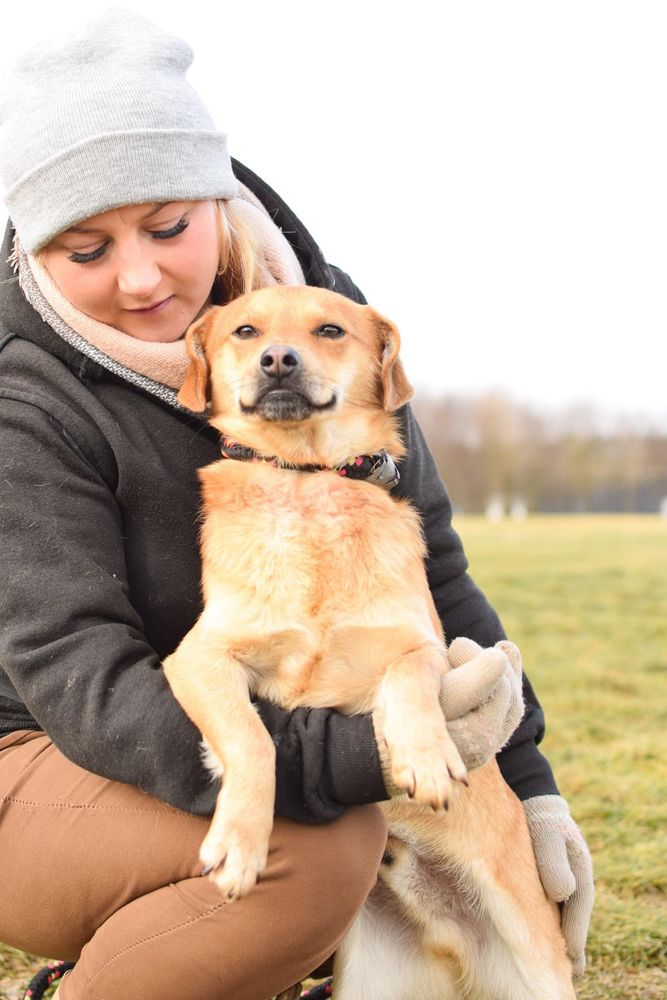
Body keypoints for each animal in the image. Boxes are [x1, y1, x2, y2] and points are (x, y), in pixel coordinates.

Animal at [162, 286, 576, 996]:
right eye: (246, 331)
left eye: (330, 331)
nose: (278, 359)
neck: (306, 479)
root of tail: (448, 940)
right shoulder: (199, 657)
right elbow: (251, 739)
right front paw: (241, 841)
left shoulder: (424, 647)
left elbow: (409, 682)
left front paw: (426, 756)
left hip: (538, 963)